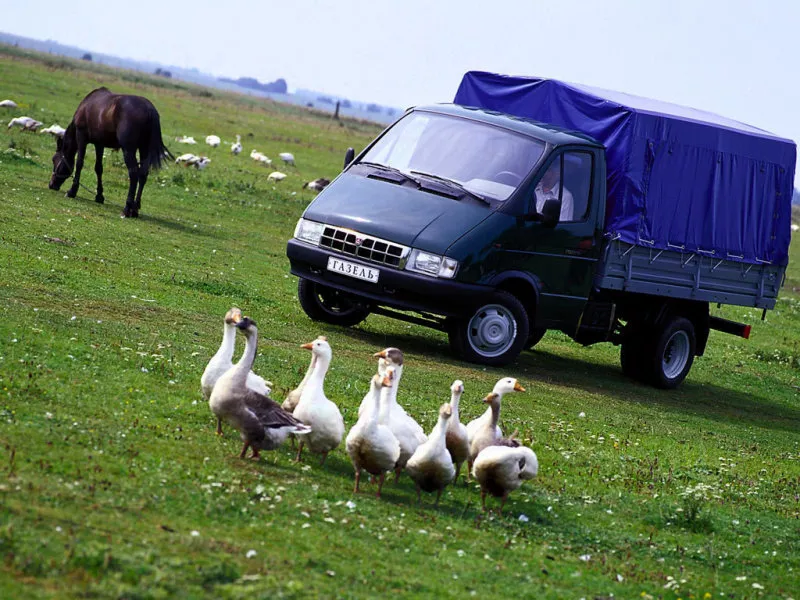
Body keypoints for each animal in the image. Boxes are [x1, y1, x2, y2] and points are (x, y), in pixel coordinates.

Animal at [49, 88, 172, 219]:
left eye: (54, 159)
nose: (51, 184)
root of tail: (149, 109)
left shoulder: (81, 137)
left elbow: (79, 163)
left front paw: (72, 191)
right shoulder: (99, 144)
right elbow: (98, 168)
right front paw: (99, 196)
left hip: (129, 150)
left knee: (134, 174)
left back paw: (127, 208)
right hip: (144, 149)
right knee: (143, 175)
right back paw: (135, 209)